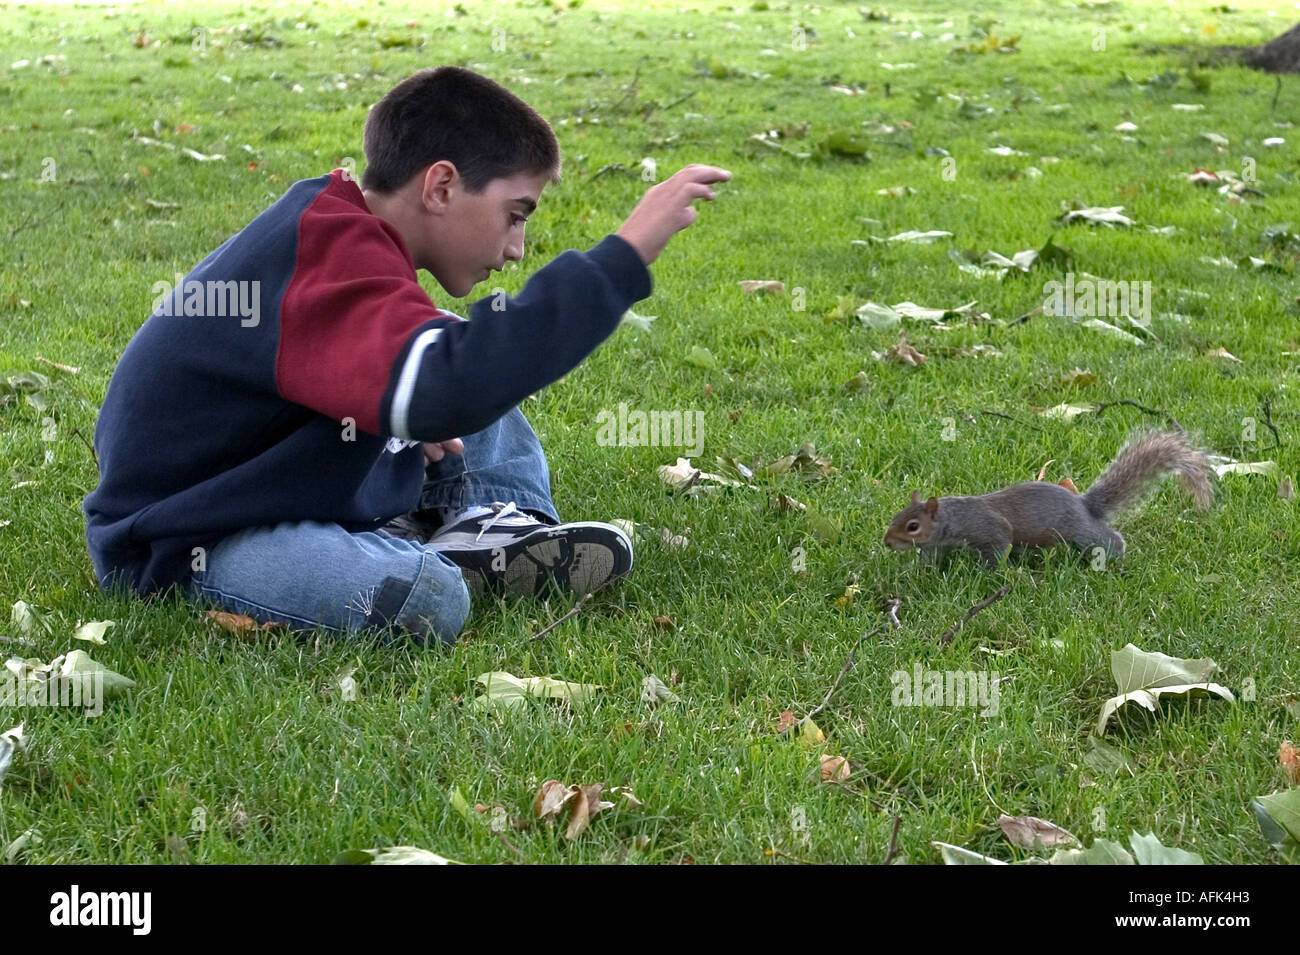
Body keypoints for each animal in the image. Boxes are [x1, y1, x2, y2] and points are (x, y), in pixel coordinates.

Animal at [883, 431, 1216, 566]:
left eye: (913, 526)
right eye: (896, 516)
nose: (886, 543)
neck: (951, 519)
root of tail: (1084, 504)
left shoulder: (988, 529)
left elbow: (998, 548)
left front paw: (983, 573)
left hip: (1079, 531)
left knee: (1106, 538)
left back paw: (1115, 555)